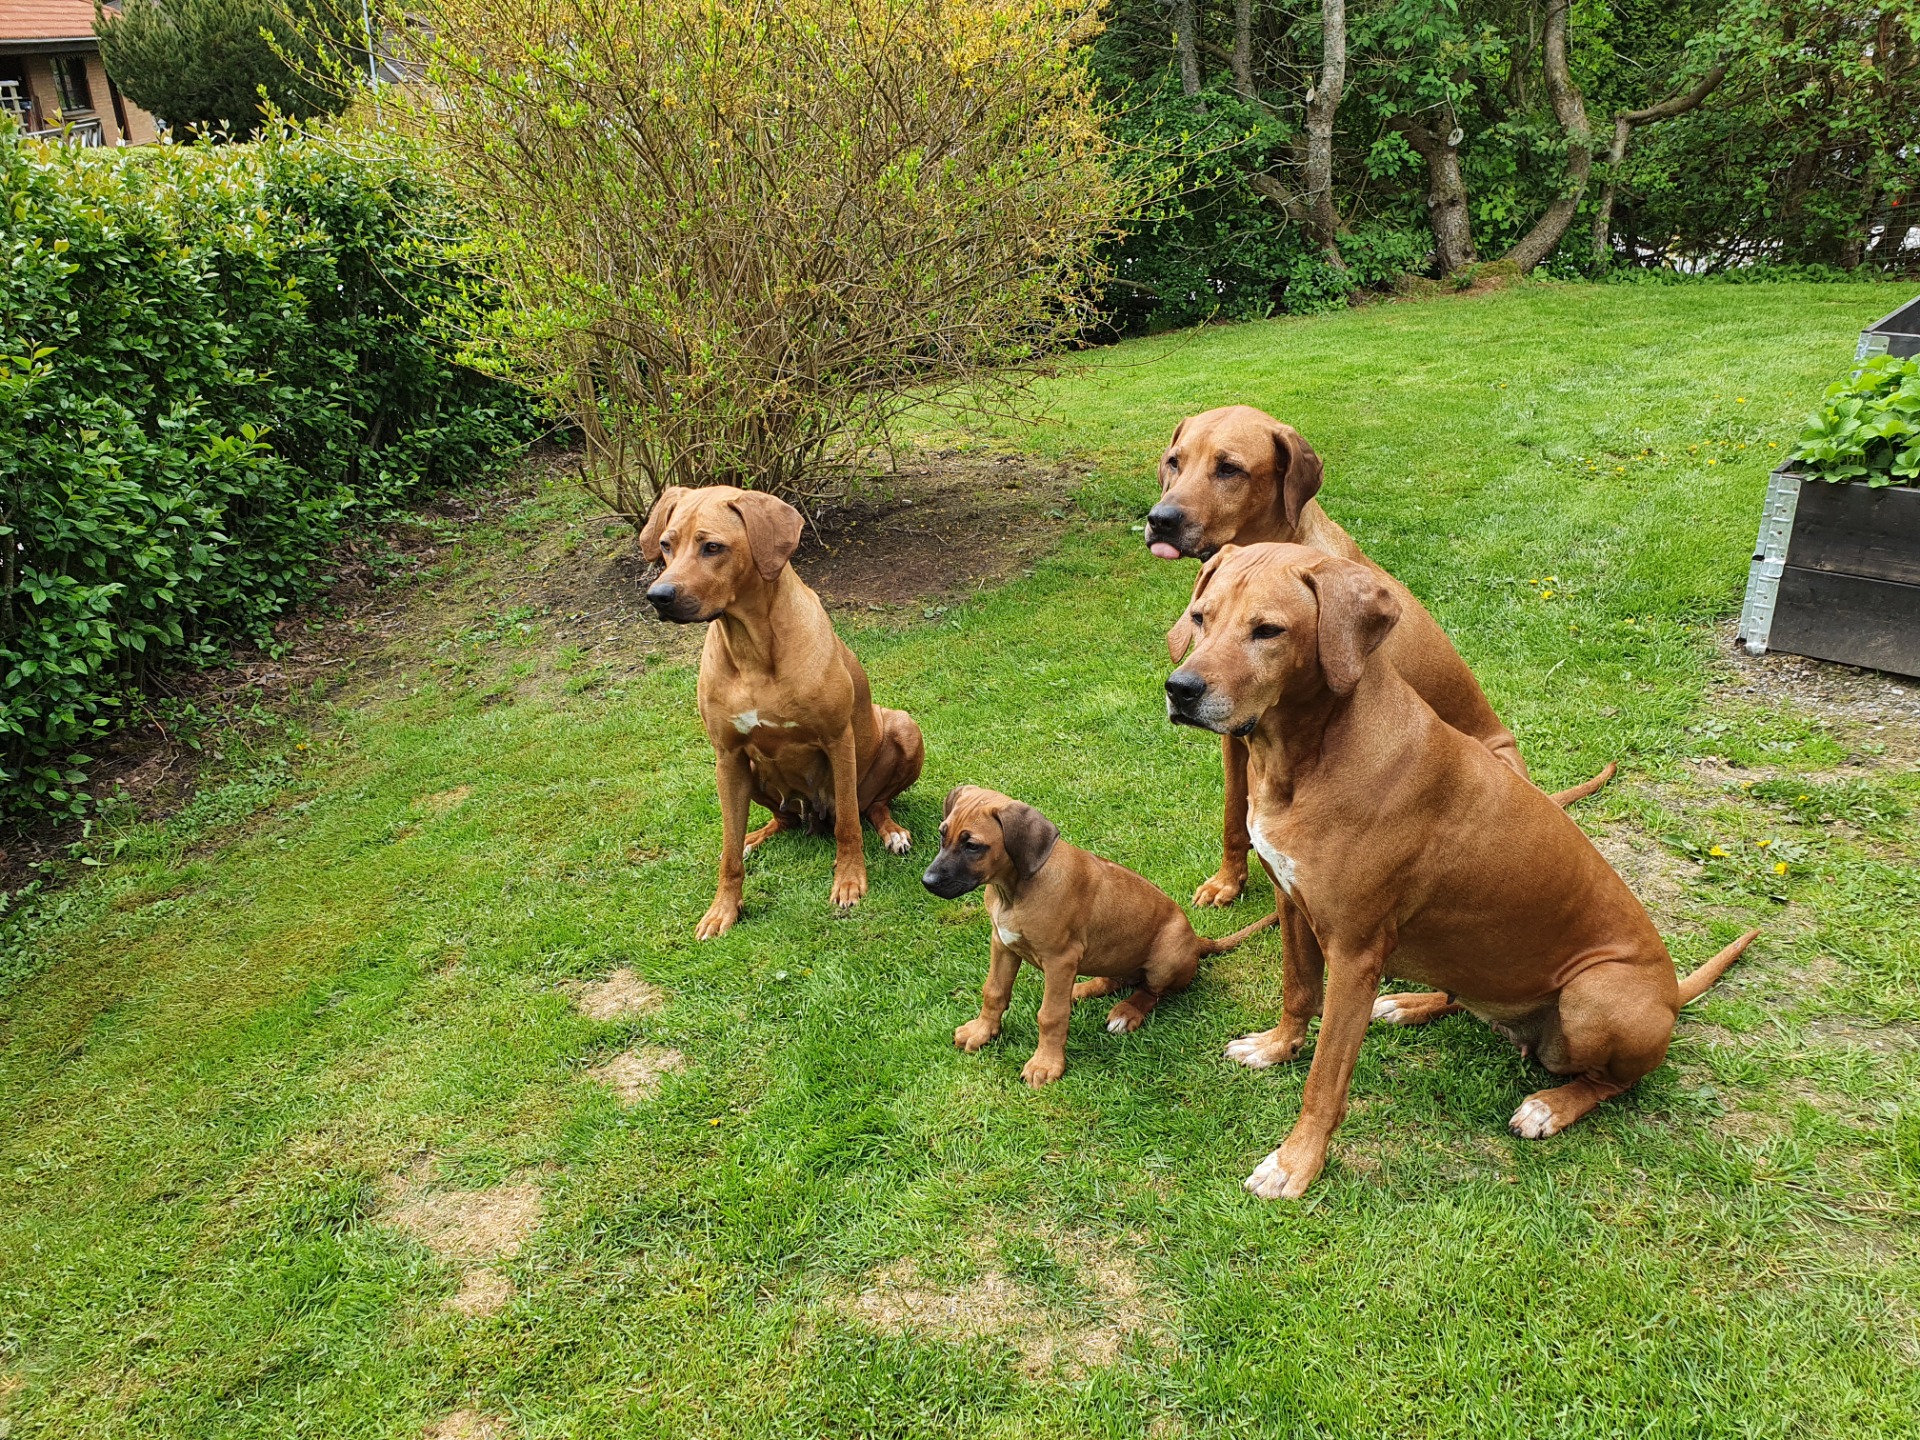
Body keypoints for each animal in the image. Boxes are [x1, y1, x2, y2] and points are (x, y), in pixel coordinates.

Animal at [641, 480, 925, 940]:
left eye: (712, 547)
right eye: (666, 544)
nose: (658, 596)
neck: (752, 648)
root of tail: (813, 816)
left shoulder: (838, 741)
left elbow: (849, 826)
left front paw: (849, 882)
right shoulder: (727, 757)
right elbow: (727, 853)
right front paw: (723, 909)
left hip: (903, 728)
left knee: (871, 806)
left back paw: (892, 832)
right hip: (753, 778)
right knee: (781, 821)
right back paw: (755, 836)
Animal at [925, 791, 1282, 1090]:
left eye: (973, 846)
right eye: (943, 834)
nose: (927, 882)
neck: (1014, 890)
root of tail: (1198, 940)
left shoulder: (1060, 959)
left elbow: (1050, 1015)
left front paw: (1045, 1064)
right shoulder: (1002, 944)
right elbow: (994, 992)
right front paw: (981, 1031)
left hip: (1166, 954)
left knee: (1151, 991)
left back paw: (1127, 1012)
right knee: (1117, 979)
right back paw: (1082, 989)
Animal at [1152, 545, 1758, 1198]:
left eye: (1268, 631)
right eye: (1201, 617)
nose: (1180, 689)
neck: (1310, 754)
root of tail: (1672, 995)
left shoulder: (1356, 953)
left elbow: (1326, 1079)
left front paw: (1296, 1162)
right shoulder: (1292, 905)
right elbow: (1297, 992)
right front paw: (1275, 1048)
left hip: (1597, 994)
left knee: (1614, 1080)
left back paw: (1551, 1105)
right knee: (1465, 995)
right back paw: (1410, 1004)